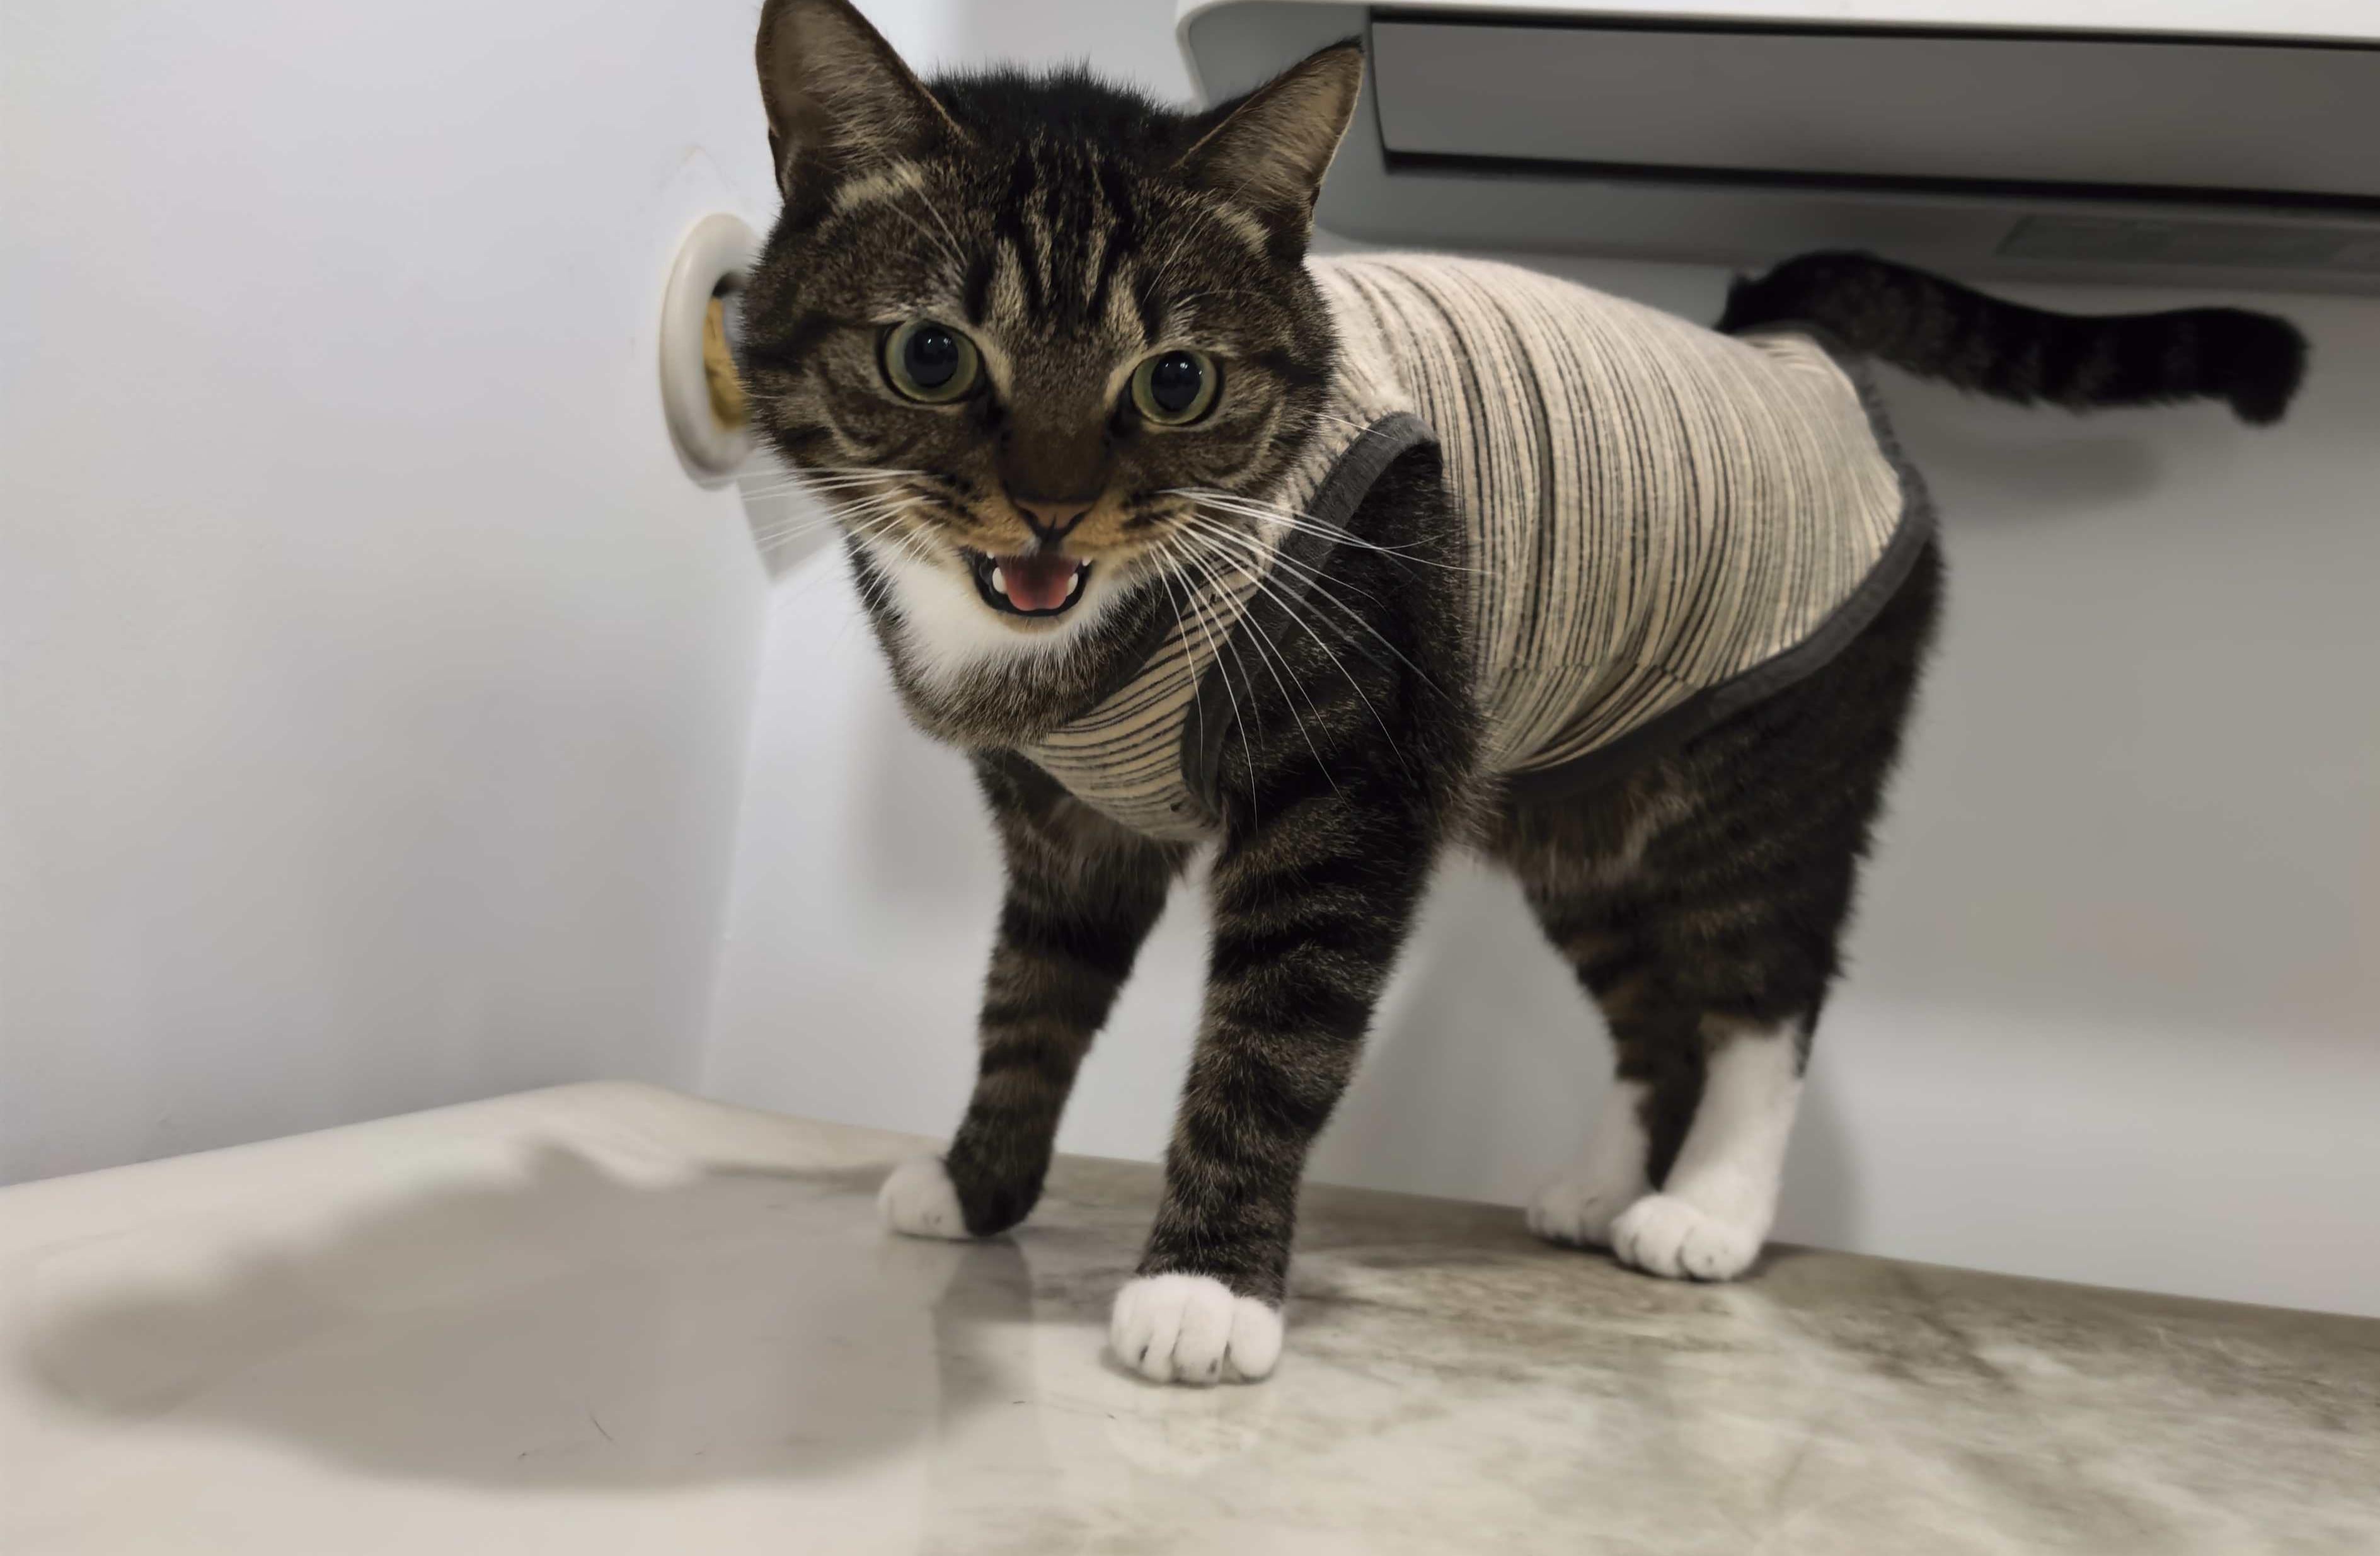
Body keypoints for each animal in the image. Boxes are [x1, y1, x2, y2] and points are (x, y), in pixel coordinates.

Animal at [737, 0, 2306, 1385]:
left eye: (1174, 380)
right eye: (930, 354)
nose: (1053, 509)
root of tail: (1773, 340)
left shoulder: (1351, 790)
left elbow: (1272, 1035)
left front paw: (1201, 1288)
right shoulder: (1068, 825)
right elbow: (1027, 1003)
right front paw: (976, 1182)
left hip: (1767, 774)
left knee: (1763, 987)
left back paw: (1708, 1208)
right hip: (1579, 811)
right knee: (1650, 1011)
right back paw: (1599, 1187)